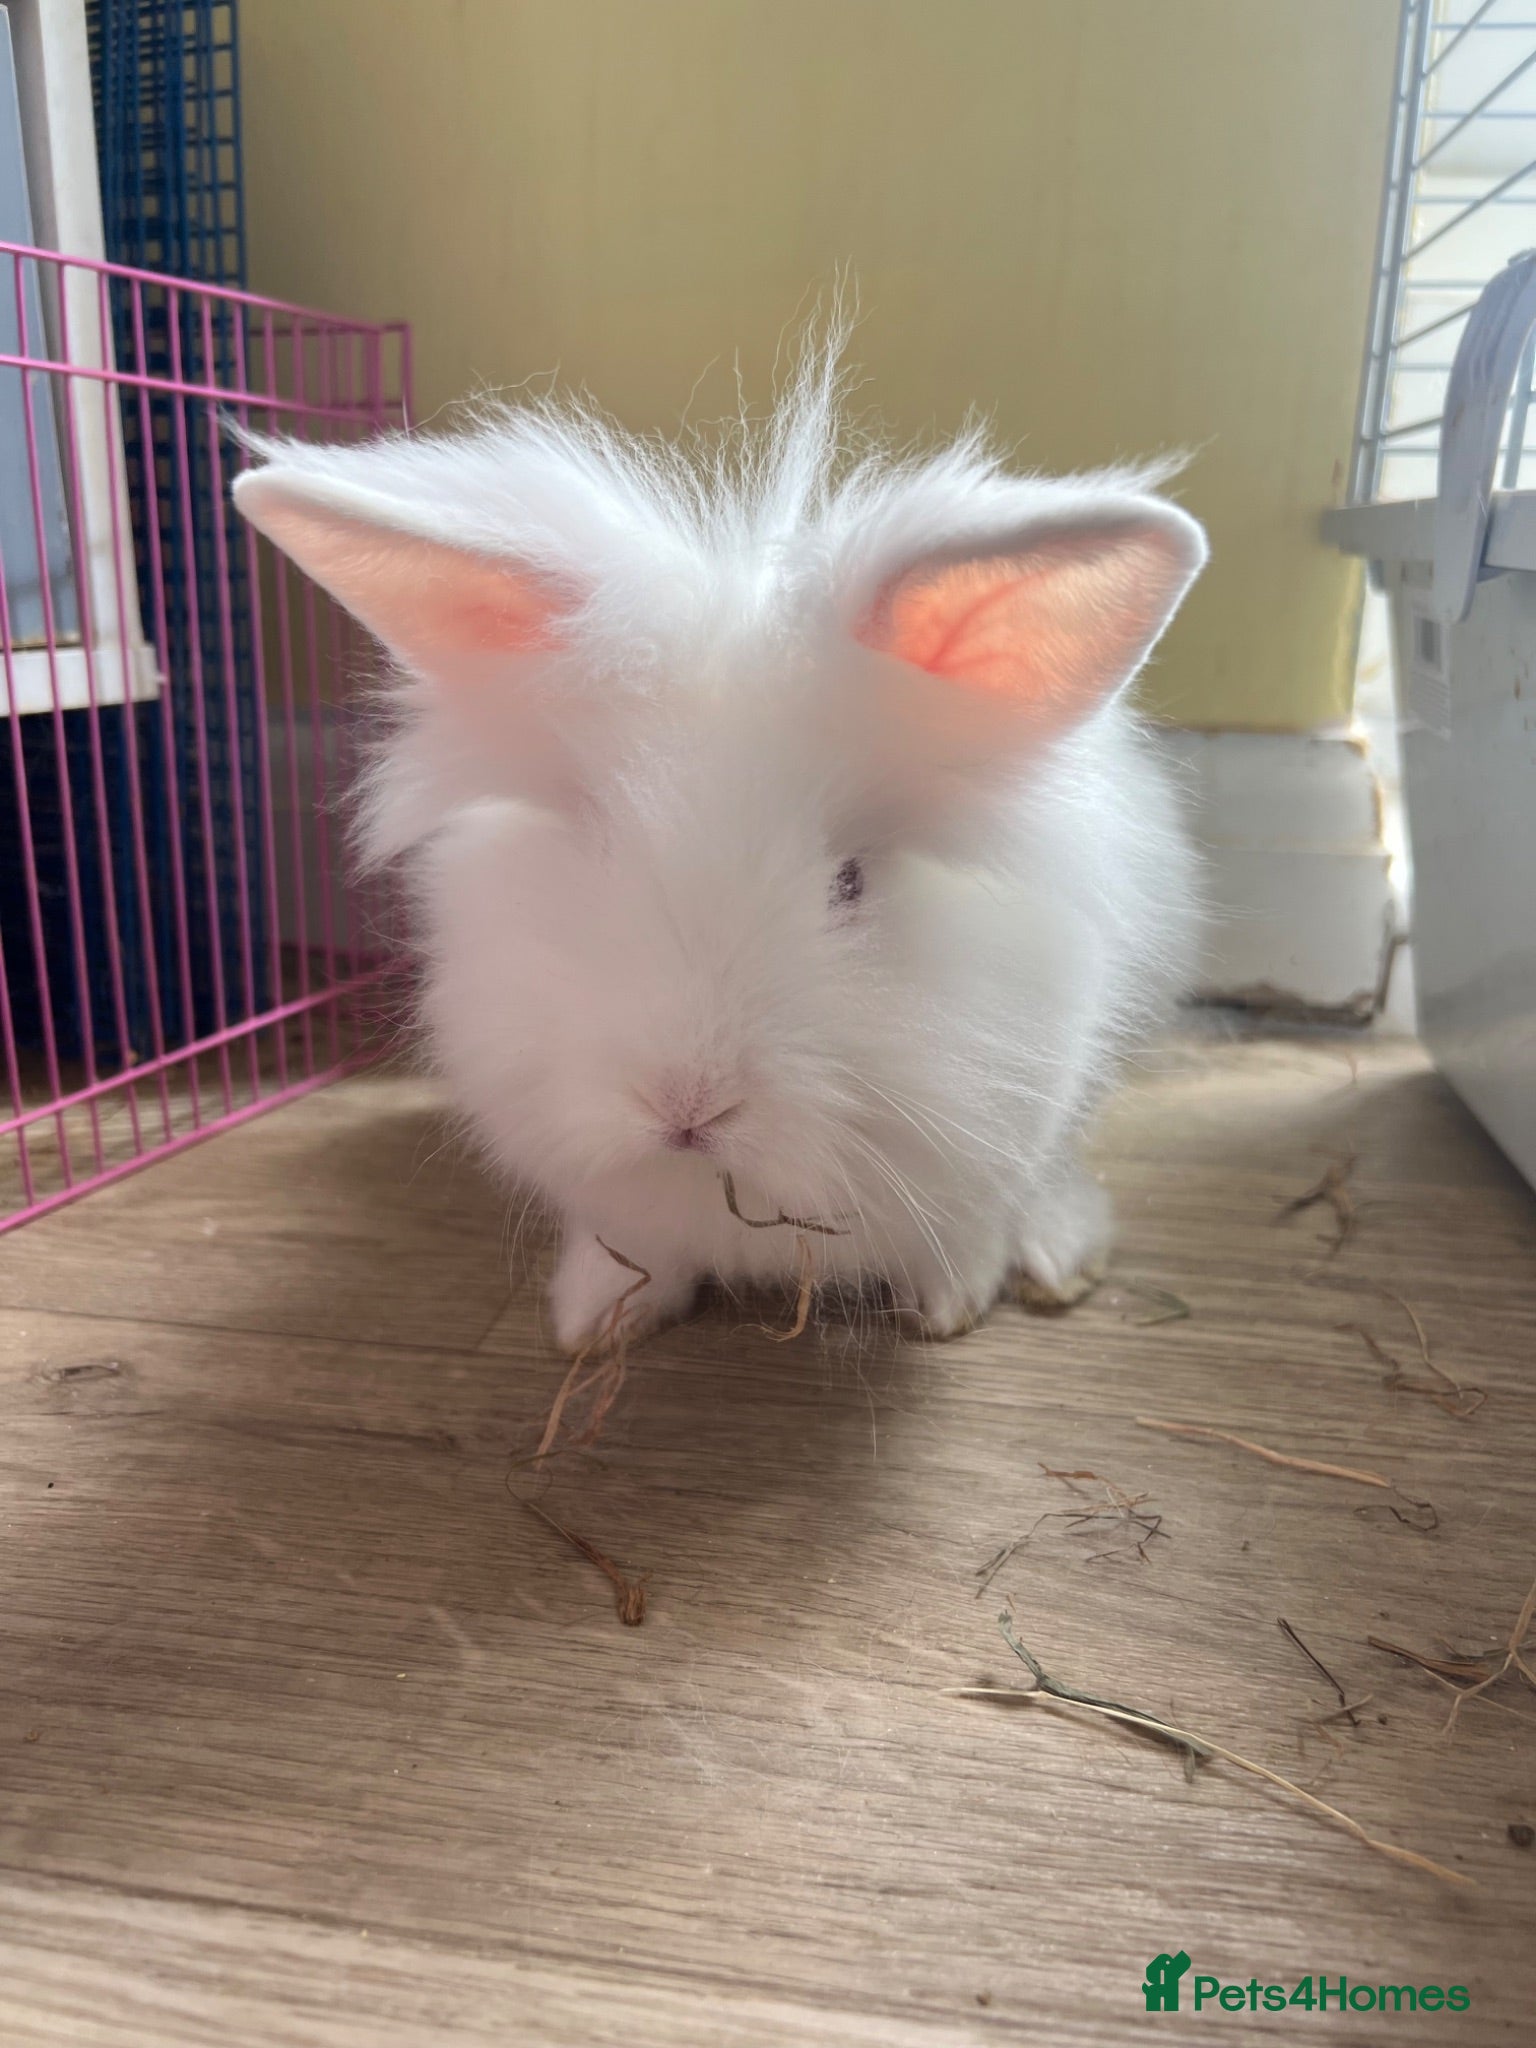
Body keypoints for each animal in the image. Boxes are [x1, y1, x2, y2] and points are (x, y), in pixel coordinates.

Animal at [232, 344, 1206, 1355]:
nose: (686, 1106)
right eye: (595, 848)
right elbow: (633, 1250)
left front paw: (951, 1305)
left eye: (849, 882)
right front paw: (593, 1321)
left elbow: (970, 1226)